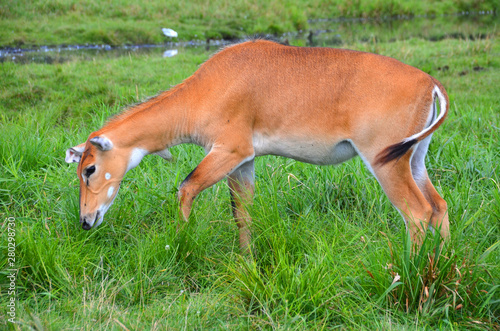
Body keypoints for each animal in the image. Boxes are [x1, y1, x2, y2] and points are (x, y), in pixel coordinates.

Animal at [65, 39, 450, 252]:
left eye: (90, 168)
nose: (85, 220)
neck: (204, 88)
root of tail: (430, 82)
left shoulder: (229, 151)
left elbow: (186, 188)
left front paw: (180, 245)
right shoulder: (244, 163)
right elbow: (243, 214)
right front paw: (246, 261)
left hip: (386, 162)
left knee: (418, 213)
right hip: (415, 159)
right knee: (439, 205)